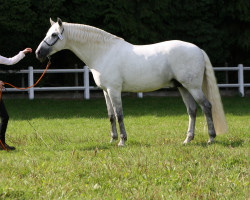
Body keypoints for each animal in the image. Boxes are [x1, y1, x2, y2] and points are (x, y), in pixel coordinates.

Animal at [36, 18, 228, 147]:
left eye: (54, 34)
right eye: (48, 33)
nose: (38, 53)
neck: (103, 52)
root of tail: (198, 49)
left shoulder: (114, 90)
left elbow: (119, 115)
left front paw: (122, 141)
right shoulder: (105, 91)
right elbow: (111, 115)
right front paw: (112, 139)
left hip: (193, 87)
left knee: (206, 106)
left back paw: (211, 138)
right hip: (183, 87)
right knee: (192, 110)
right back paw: (187, 139)